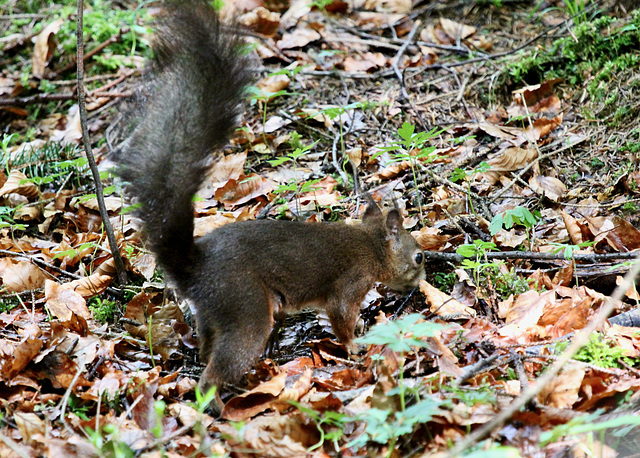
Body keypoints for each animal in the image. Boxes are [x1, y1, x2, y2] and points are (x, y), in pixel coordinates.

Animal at [115, 0, 424, 400]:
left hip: (213, 315)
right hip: (244, 305)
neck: (370, 244)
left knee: (206, 348)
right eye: (418, 257)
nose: (420, 285)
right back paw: (218, 401)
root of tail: (195, 269)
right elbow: (341, 316)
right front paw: (355, 346)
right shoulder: (350, 283)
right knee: (214, 371)